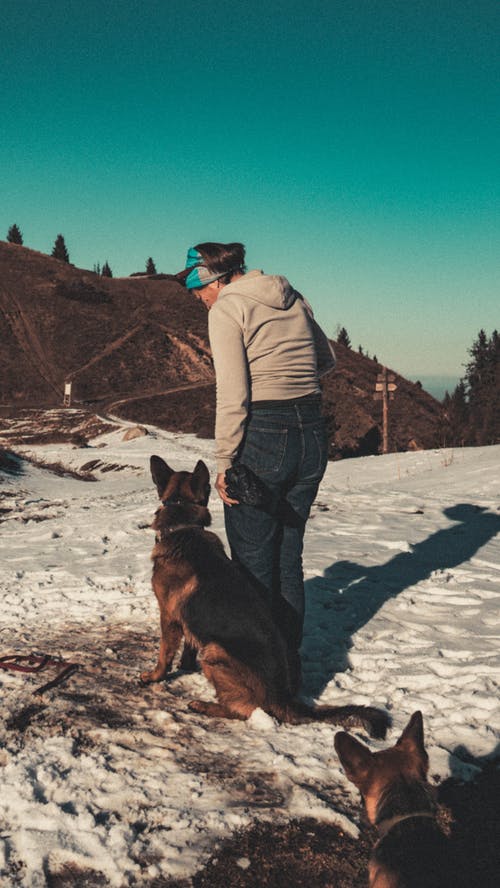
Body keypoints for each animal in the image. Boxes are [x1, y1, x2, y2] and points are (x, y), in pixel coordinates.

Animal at [141, 454, 390, 740]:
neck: (184, 526)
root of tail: (282, 697)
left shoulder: (168, 617)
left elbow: (164, 654)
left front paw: (154, 676)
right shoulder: (189, 620)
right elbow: (188, 649)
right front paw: (185, 666)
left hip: (214, 650)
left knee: (246, 710)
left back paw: (205, 705)